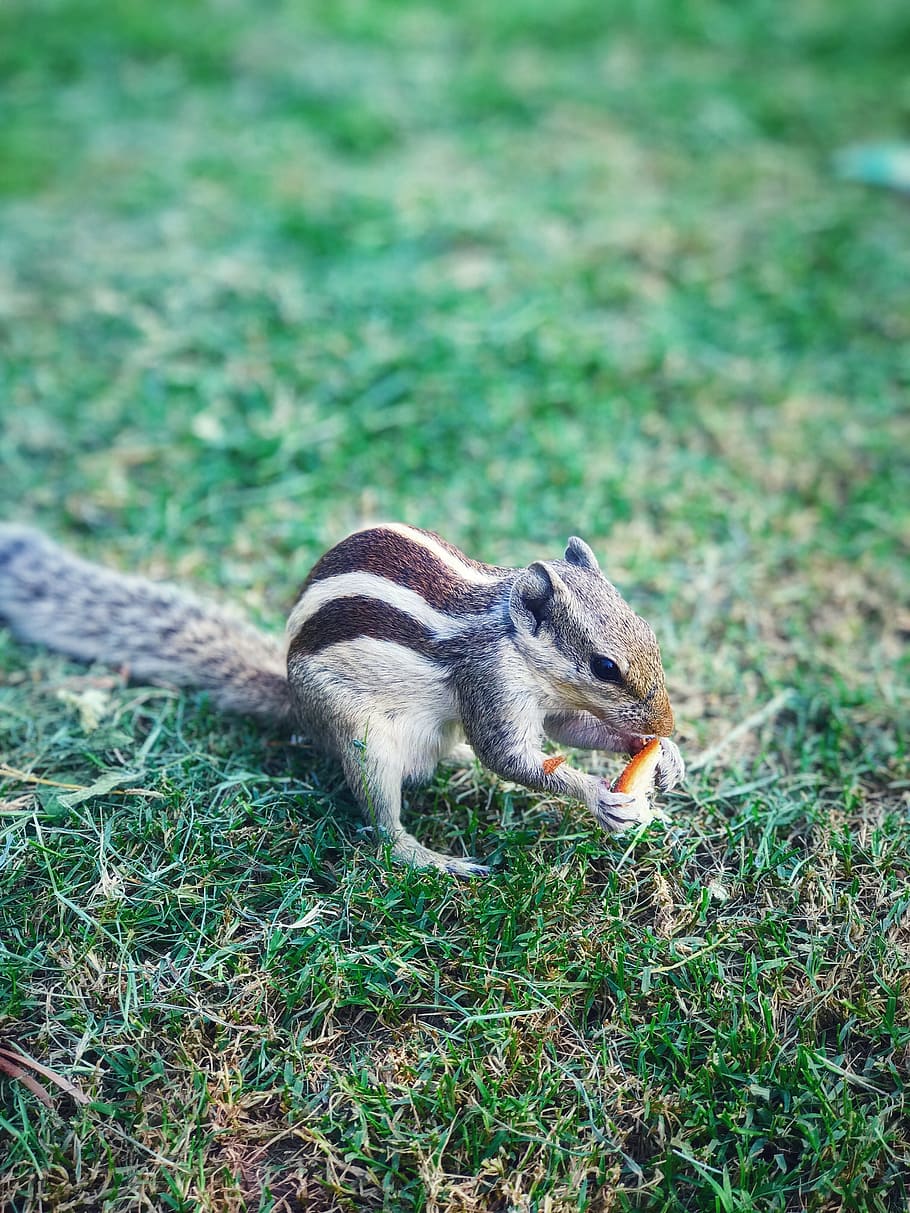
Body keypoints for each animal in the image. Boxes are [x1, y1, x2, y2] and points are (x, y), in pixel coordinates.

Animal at [0, 522, 684, 876]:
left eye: (649, 631)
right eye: (603, 666)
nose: (668, 720)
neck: (507, 635)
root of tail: (294, 699)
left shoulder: (550, 701)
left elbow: (568, 730)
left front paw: (662, 756)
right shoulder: (490, 682)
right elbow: (512, 759)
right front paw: (601, 796)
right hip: (362, 739)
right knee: (384, 828)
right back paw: (434, 859)